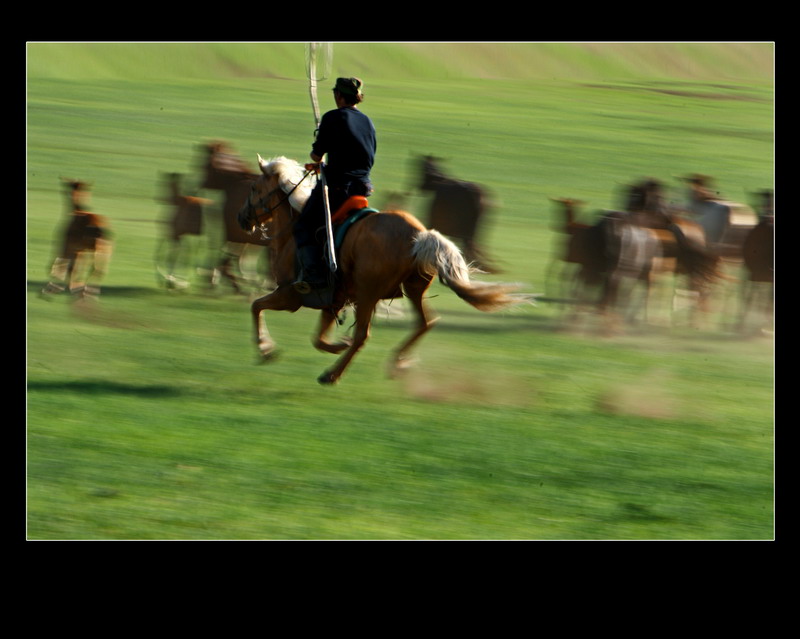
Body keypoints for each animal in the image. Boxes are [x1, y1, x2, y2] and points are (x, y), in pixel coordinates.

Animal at [238, 155, 524, 384]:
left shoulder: (290, 295)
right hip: (412, 289)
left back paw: (332, 375)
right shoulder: (333, 301)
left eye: (253, 187)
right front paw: (337, 344)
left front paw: (265, 348)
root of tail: (419, 234)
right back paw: (398, 362)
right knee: (425, 323)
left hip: (368, 294)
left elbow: (256, 306)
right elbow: (318, 338)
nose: (242, 219)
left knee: (363, 335)